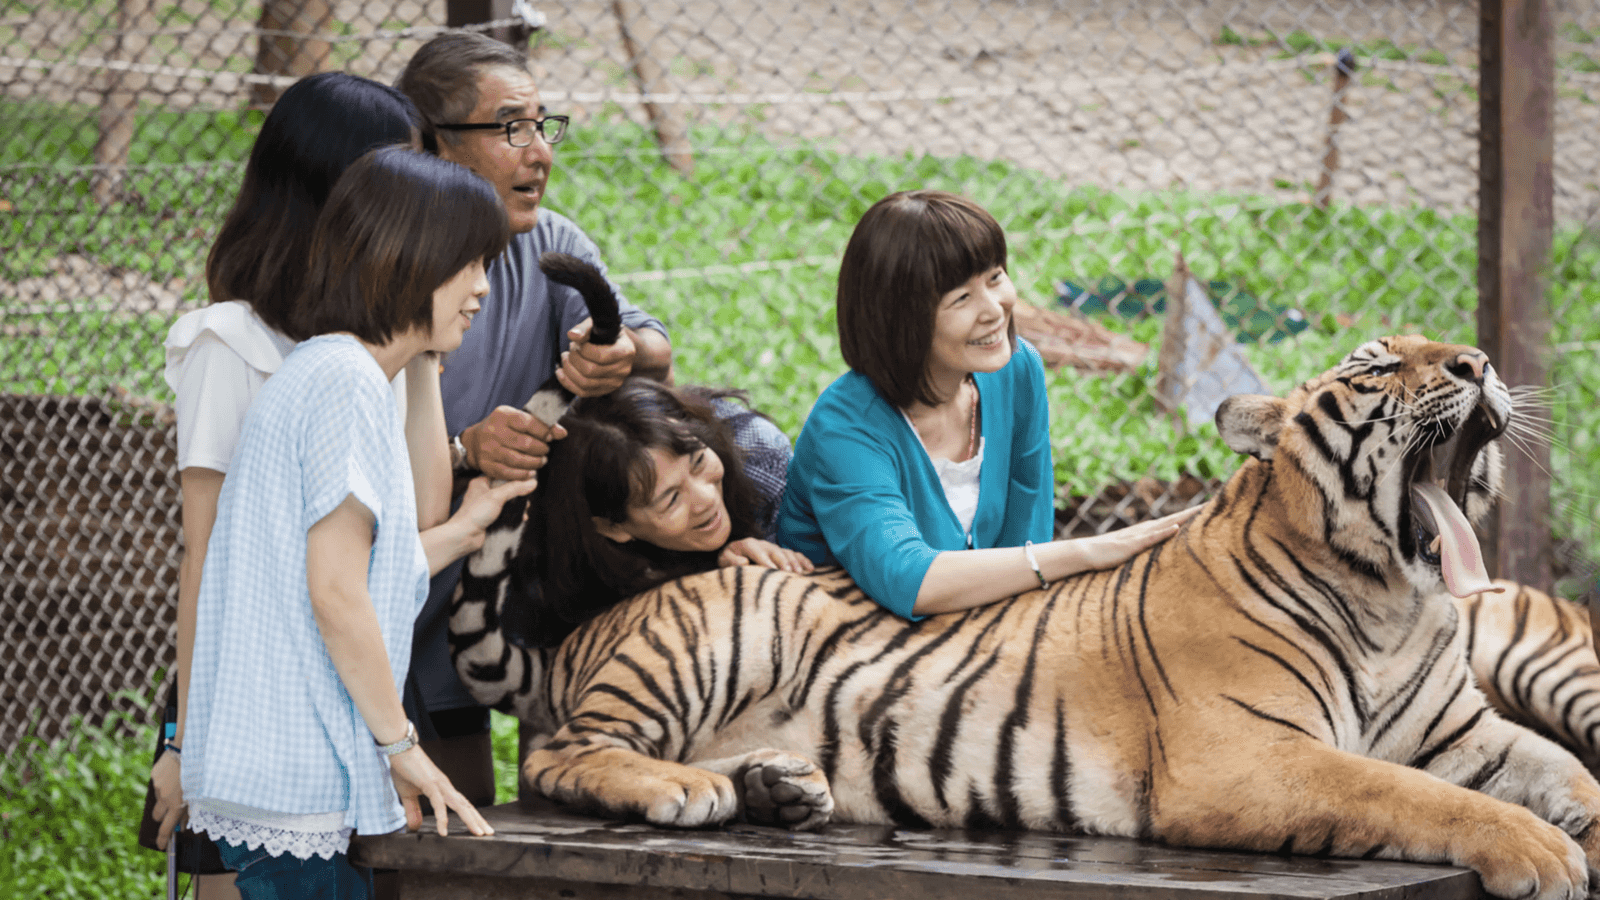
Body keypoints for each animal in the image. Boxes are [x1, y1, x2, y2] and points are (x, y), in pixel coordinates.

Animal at [448, 335, 1600, 900]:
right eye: (1381, 366)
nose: (1479, 367)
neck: (1393, 598)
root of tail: (593, 624)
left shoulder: (1466, 733)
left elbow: (1564, 772)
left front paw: (1565, 822)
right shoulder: (1247, 754)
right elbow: (1409, 795)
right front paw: (1540, 855)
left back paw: (777, 786)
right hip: (704, 641)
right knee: (558, 757)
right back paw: (684, 790)